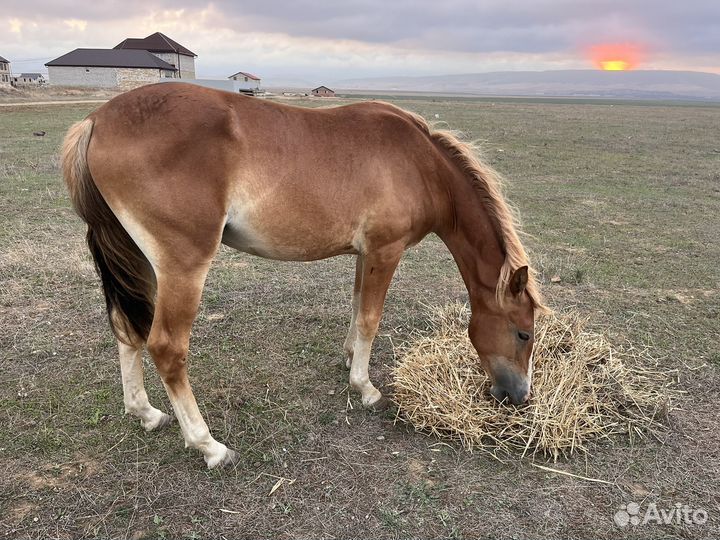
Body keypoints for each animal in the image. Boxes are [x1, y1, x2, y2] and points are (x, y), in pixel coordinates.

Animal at [61, 82, 546, 468]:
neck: (420, 164)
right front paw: (365, 388)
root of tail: (97, 120)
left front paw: (350, 359)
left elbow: (356, 308)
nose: (520, 396)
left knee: (127, 330)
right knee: (166, 347)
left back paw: (145, 413)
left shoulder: (365, 254)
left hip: (137, 260)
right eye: (524, 333)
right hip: (182, 266)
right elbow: (370, 318)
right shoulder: (385, 251)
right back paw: (209, 446)